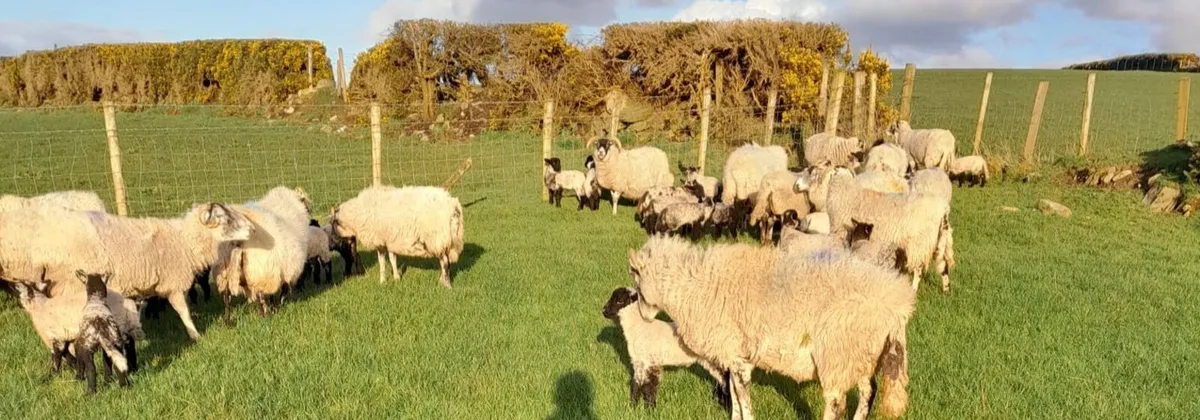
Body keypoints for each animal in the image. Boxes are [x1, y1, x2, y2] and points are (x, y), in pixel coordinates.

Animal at [0, 202, 252, 341]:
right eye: (224, 219)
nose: (251, 229)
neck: (183, 240)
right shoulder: (172, 282)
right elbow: (183, 311)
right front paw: (194, 335)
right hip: (69, 286)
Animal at [329, 185, 464, 288]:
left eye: (333, 222)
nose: (332, 242)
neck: (356, 216)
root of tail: (453, 205)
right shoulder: (390, 241)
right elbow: (392, 259)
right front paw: (396, 277)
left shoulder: (380, 241)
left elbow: (382, 263)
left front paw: (382, 281)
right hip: (448, 240)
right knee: (445, 262)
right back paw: (442, 280)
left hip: (438, 238)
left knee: (445, 262)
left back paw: (446, 285)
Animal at [602, 286, 730, 410]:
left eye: (619, 301)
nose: (604, 311)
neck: (639, 327)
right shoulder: (638, 362)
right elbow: (635, 384)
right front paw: (632, 408)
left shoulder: (652, 362)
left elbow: (648, 387)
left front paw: (650, 410)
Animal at [626, 235, 915, 420]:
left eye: (636, 279)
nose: (643, 316)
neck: (695, 286)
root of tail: (896, 303)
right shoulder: (737, 356)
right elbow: (735, 394)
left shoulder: (736, 355)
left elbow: (742, 396)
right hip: (862, 353)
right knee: (868, 392)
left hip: (837, 351)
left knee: (835, 401)